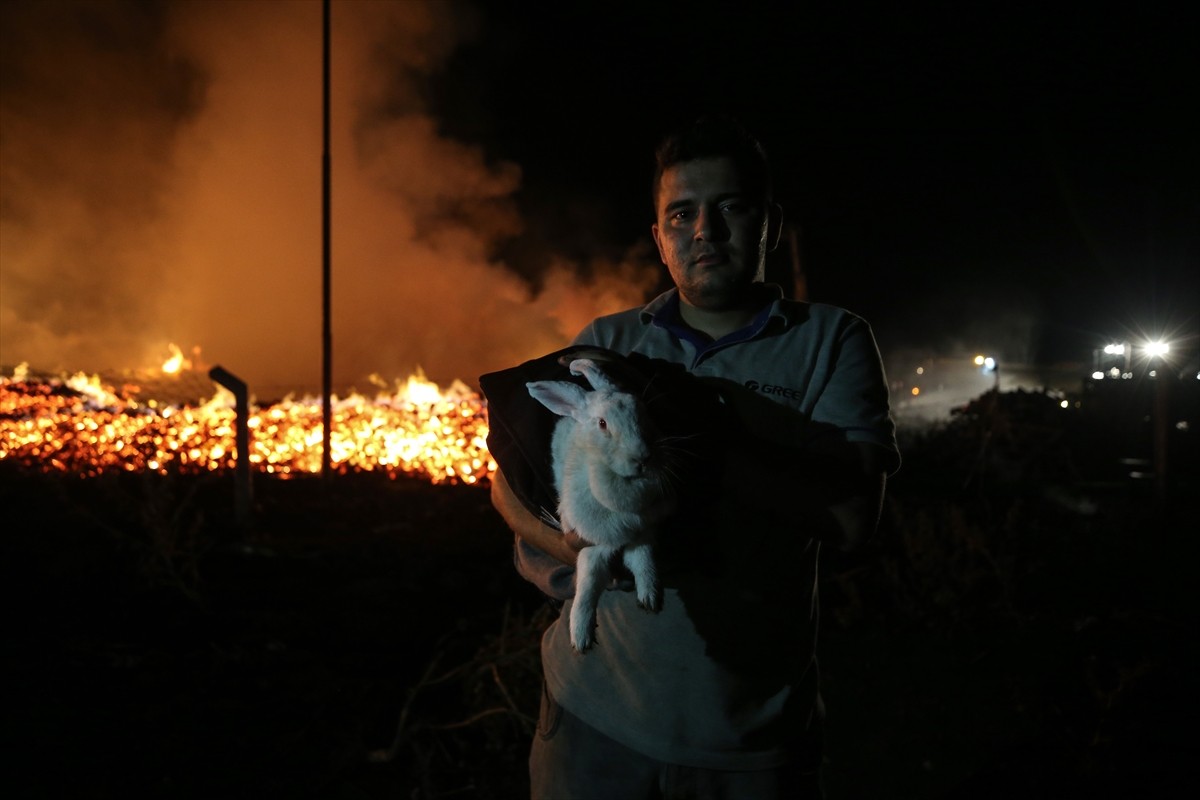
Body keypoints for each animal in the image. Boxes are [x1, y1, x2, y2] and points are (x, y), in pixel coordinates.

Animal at [525, 359, 676, 652]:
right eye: (603, 424)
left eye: (643, 412)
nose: (643, 458)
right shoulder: (593, 545)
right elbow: (588, 585)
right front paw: (580, 637)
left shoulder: (642, 534)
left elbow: (643, 561)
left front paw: (650, 598)